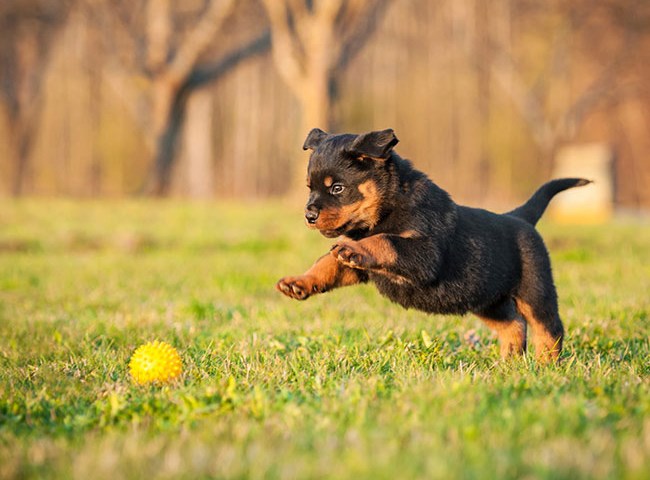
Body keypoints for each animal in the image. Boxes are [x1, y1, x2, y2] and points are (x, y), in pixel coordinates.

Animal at [274, 129, 588, 362]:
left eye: (337, 188)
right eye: (310, 188)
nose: (309, 215)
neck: (387, 208)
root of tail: (520, 217)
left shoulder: (424, 254)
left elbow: (385, 240)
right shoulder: (360, 268)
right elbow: (327, 262)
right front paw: (299, 282)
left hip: (535, 291)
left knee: (548, 329)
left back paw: (545, 366)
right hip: (488, 299)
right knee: (513, 325)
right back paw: (509, 364)